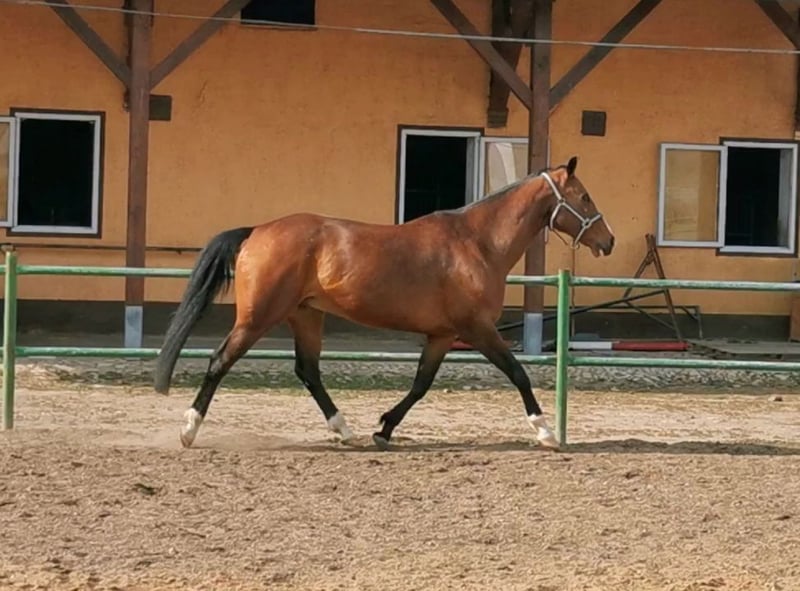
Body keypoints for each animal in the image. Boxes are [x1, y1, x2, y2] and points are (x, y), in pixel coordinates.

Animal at [154, 156, 615, 451]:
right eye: (585, 197)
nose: (607, 240)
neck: (477, 242)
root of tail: (256, 231)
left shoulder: (442, 335)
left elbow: (420, 385)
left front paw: (384, 430)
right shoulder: (476, 329)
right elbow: (518, 373)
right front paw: (546, 433)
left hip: (306, 315)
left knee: (308, 371)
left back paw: (346, 431)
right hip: (258, 317)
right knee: (220, 361)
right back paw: (188, 431)